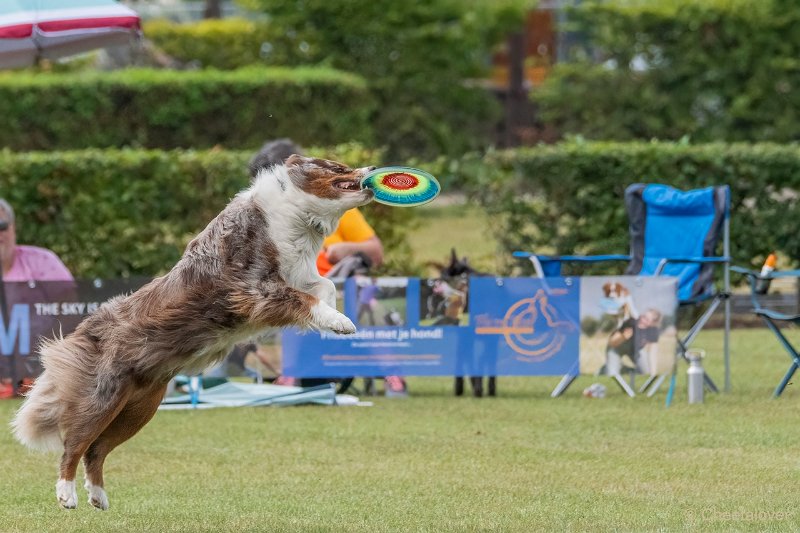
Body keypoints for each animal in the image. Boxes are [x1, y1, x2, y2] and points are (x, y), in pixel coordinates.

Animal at [11, 153, 376, 508]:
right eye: (338, 167)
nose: (373, 167)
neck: (293, 215)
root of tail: (86, 329)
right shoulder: (254, 290)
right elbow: (306, 299)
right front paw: (341, 322)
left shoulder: (295, 275)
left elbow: (326, 285)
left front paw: (332, 318)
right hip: (101, 399)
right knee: (73, 443)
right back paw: (66, 494)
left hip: (138, 410)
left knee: (97, 449)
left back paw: (99, 496)